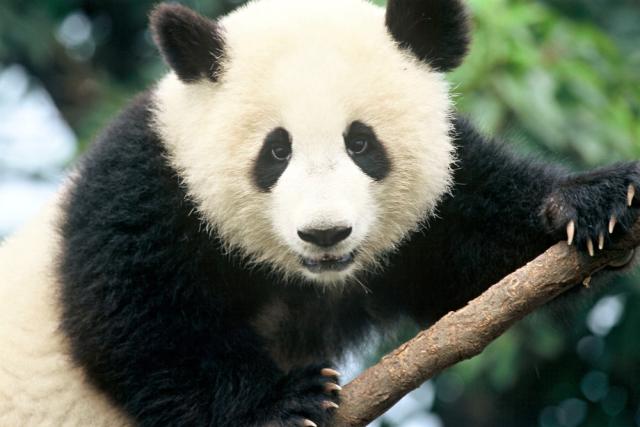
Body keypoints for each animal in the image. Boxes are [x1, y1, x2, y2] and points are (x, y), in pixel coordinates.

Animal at [0, 0, 638, 425]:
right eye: (275, 151)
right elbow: (139, 326)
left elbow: (474, 252)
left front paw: (596, 203)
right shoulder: (145, 188)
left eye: (361, 143)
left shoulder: (438, 211)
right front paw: (282, 403)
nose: (325, 233)